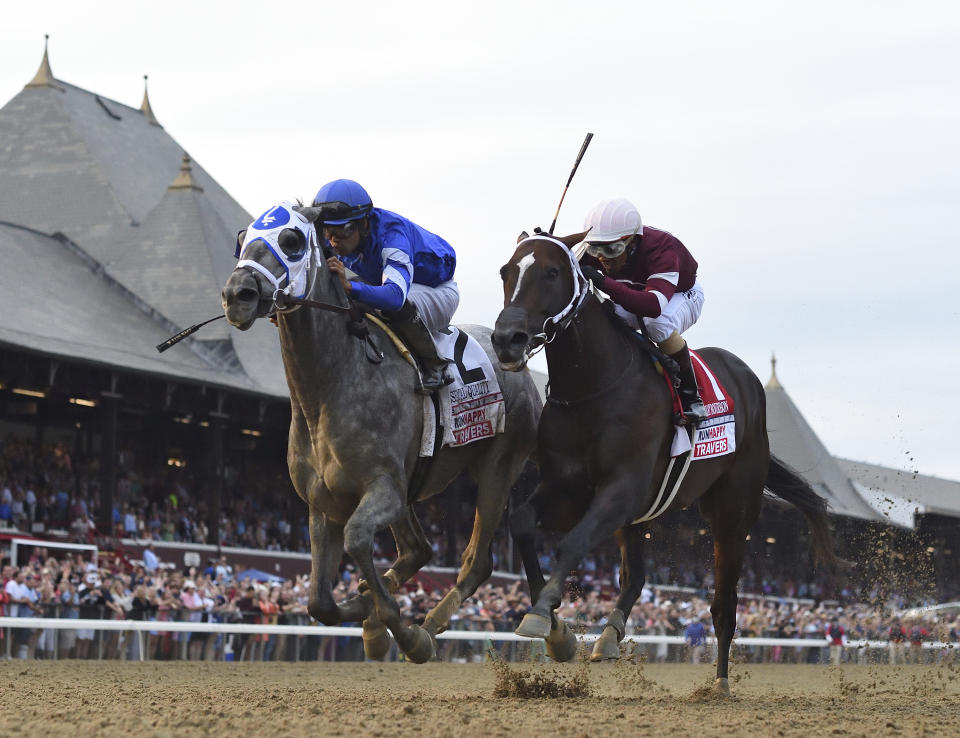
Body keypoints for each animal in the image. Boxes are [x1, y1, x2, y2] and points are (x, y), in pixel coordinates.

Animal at [220, 203, 544, 660]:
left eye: (291, 240)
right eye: (243, 238)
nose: (238, 295)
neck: (331, 387)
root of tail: (519, 362)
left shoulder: (383, 489)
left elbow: (357, 540)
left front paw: (402, 632)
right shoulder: (323, 503)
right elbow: (319, 602)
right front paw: (368, 611)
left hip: (498, 468)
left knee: (476, 560)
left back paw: (426, 626)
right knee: (418, 549)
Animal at [492, 231, 836, 688]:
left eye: (551, 272)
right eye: (505, 271)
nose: (506, 338)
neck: (593, 389)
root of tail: (749, 382)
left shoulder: (620, 489)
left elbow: (573, 541)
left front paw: (542, 614)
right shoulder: (564, 486)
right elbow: (522, 523)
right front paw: (555, 630)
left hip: (733, 510)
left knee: (724, 604)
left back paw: (720, 683)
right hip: (641, 515)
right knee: (637, 576)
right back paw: (608, 638)